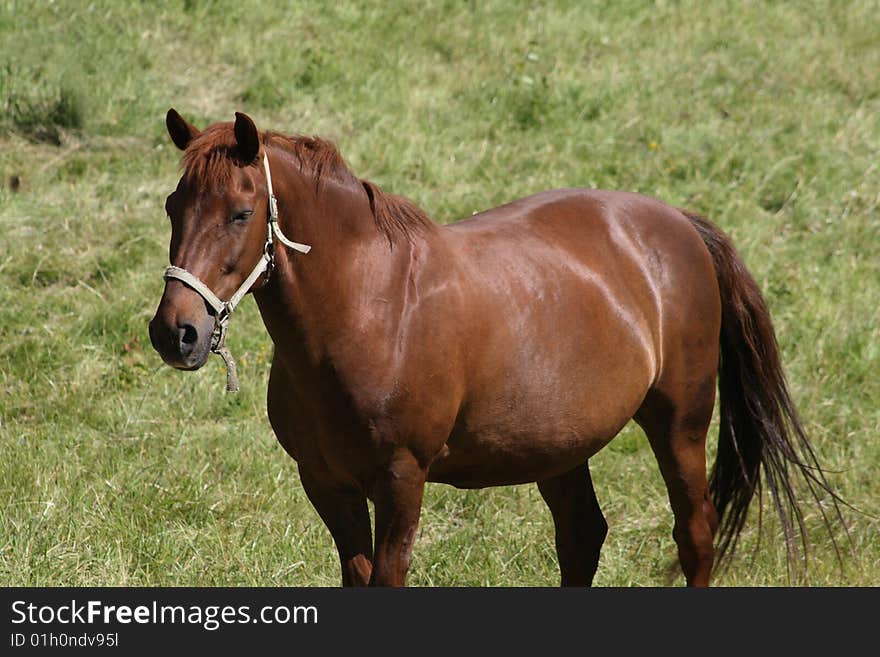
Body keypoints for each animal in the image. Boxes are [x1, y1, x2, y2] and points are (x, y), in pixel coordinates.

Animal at [150, 110, 840, 588]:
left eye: (241, 213)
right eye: (172, 205)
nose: (175, 332)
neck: (371, 310)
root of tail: (679, 224)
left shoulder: (401, 479)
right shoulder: (325, 482)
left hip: (681, 424)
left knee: (694, 535)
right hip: (561, 446)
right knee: (582, 537)